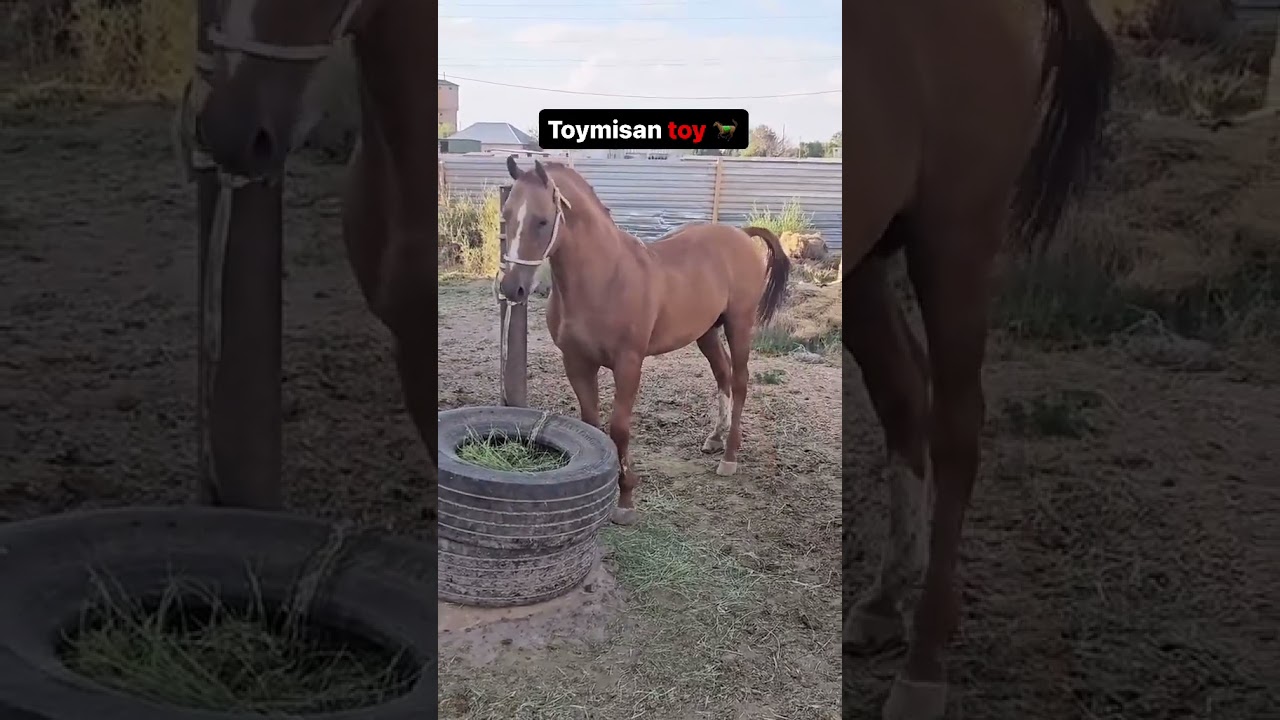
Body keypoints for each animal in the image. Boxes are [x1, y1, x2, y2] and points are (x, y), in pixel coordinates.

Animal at [498, 157, 791, 526]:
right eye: (506, 216)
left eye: (542, 220)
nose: (512, 288)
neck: (605, 279)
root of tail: (741, 235)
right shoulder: (576, 363)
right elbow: (592, 423)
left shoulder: (628, 364)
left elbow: (619, 428)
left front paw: (625, 500)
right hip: (706, 332)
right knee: (722, 375)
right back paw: (714, 438)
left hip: (739, 325)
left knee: (739, 381)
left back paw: (729, 456)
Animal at [843, 0, 1114, 718]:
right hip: (870, 255)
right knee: (903, 393)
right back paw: (887, 601)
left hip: (953, 241)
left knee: (957, 427)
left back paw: (924, 665)